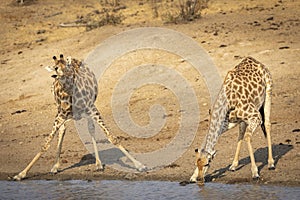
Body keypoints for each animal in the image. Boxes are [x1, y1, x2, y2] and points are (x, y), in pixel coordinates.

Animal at [12, 54, 146, 181]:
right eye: (55, 68)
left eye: (67, 66)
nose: (64, 74)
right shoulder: (60, 115)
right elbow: (45, 144)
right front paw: (21, 174)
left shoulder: (92, 109)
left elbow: (112, 137)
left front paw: (140, 165)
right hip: (61, 112)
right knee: (63, 130)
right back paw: (55, 166)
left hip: (88, 110)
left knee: (91, 128)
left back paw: (98, 163)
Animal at [191, 56, 276, 184]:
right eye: (197, 164)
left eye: (207, 164)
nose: (200, 180)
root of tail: (255, 60)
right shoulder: (226, 123)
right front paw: (192, 176)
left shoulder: (256, 116)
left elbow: (248, 137)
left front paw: (255, 173)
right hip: (242, 120)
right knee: (241, 133)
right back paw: (233, 166)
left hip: (268, 92)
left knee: (267, 124)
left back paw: (271, 163)